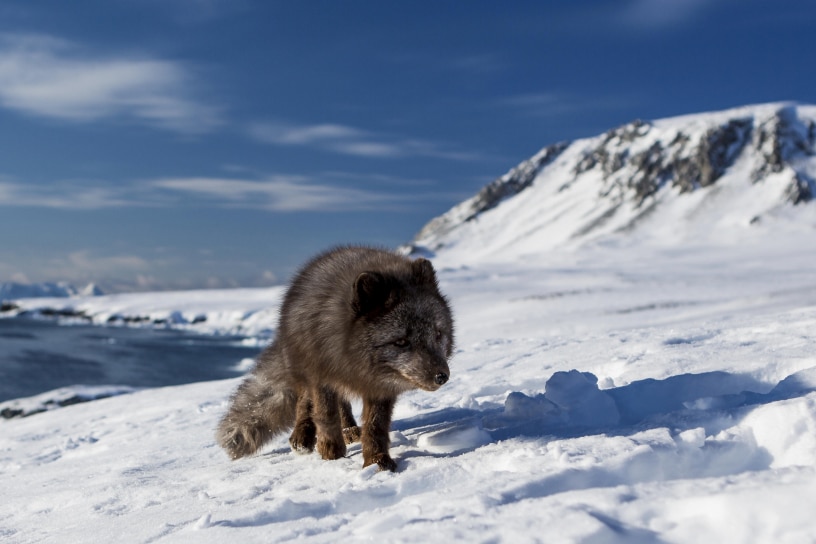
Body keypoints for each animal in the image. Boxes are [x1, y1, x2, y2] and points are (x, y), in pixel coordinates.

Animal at [215, 246, 452, 472]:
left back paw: (349, 430)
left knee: (343, 404)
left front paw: (376, 461)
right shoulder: (321, 374)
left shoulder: (379, 387)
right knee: (305, 402)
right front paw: (332, 454)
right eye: (401, 342)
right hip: (304, 367)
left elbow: (375, 426)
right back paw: (302, 437)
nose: (442, 377)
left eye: (437, 334)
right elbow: (325, 415)